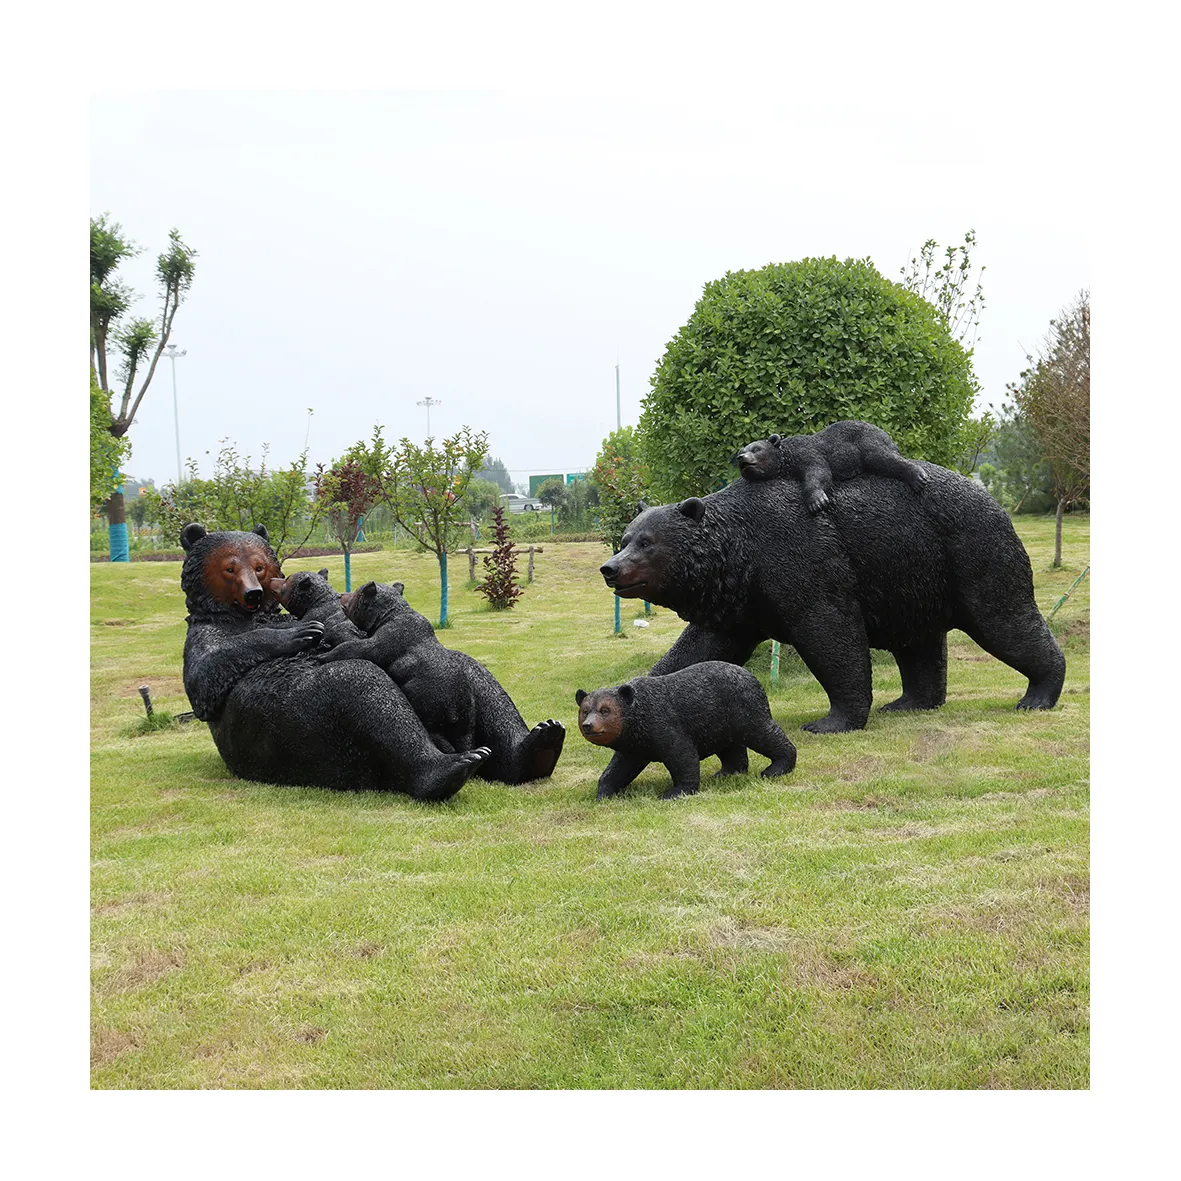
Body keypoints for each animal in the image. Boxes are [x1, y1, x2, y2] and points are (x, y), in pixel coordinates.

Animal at [178, 526, 488, 803]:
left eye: (259, 567)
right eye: (230, 569)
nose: (260, 589)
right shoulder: (207, 635)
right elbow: (205, 678)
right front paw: (298, 636)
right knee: (357, 682)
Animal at [318, 576, 566, 779]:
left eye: (356, 593)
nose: (342, 594)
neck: (389, 613)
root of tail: (455, 708)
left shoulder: (388, 639)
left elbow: (359, 648)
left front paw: (324, 654)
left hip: (429, 701)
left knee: (435, 731)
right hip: (467, 715)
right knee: (465, 736)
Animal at [573, 666, 798, 803]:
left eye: (605, 710)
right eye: (585, 710)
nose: (588, 725)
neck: (637, 720)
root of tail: (752, 676)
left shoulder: (662, 722)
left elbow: (682, 754)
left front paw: (674, 792)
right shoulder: (635, 743)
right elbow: (621, 766)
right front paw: (605, 791)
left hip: (744, 708)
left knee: (762, 732)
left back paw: (776, 767)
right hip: (721, 720)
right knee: (731, 747)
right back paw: (727, 772)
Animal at [595, 467, 1067, 727]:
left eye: (647, 542)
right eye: (626, 538)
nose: (610, 568)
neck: (738, 554)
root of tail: (994, 499)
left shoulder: (801, 557)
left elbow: (830, 632)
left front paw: (832, 720)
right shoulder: (738, 603)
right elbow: (699, 649)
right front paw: (636, 691)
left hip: (971, 553)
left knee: (1004, 619)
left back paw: (1037, 695)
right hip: (913, 576)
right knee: (918, 643)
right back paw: (908, 703)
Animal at [732, 418, 925, 510]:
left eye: (756, 449)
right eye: (741, 451)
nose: (741, 458)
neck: (787, 456)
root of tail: (887, 436)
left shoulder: (806, 452)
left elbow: (820, 472)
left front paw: (817, 501)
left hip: (867, 440)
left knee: (880, 457)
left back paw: (917, 476)